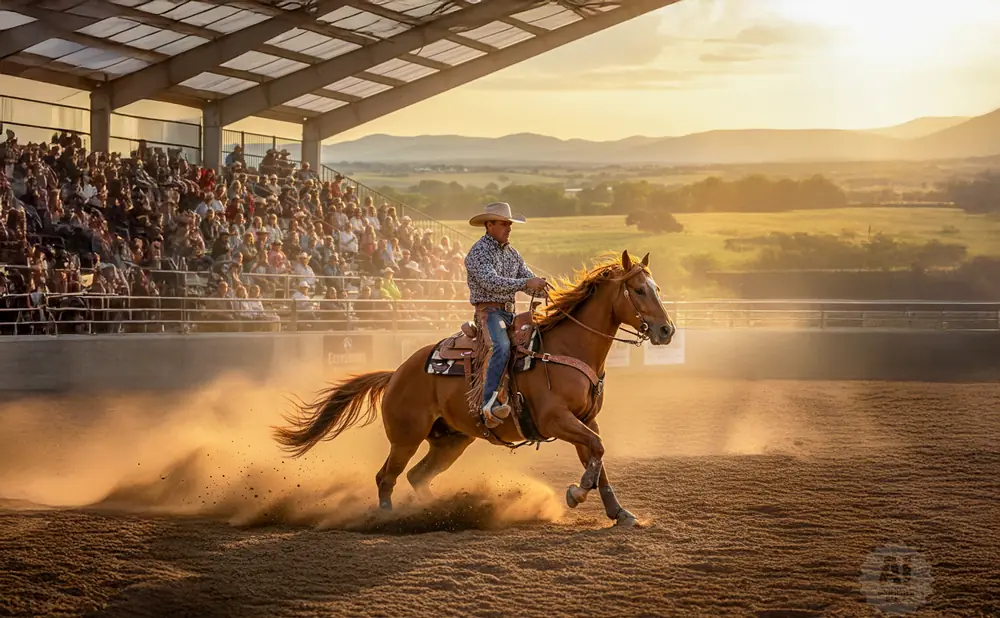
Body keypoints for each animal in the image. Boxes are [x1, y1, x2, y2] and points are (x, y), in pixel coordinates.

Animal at [273, 250, 676, 527]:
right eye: (639, 290)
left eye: (656, 287)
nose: (667, 330)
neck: (566, 348)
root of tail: (397, 373)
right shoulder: (556, 419)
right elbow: (597, 451)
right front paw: (575, 494)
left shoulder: (585, 420)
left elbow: (597, 455)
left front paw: (620, 513)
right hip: (405, 437)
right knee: (386, 477)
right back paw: (388, 519)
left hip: (451, 440)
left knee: (417, 476)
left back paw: (438, 510)